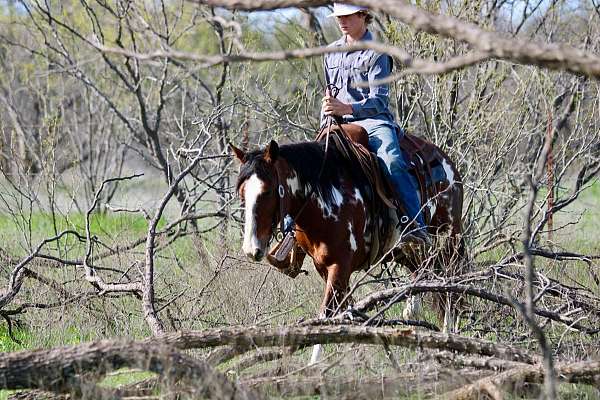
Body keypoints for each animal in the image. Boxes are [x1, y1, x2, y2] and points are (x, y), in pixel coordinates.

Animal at [232, 127, 462, 332]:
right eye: (242, 193)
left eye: (268, 191)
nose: (251, 249)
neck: (326, 198)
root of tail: (445, 160)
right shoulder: (323, 266)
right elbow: (341, 312)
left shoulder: (340, 266)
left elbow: (326, 315)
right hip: (404, 251)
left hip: (450, 238)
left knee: (449, 284)